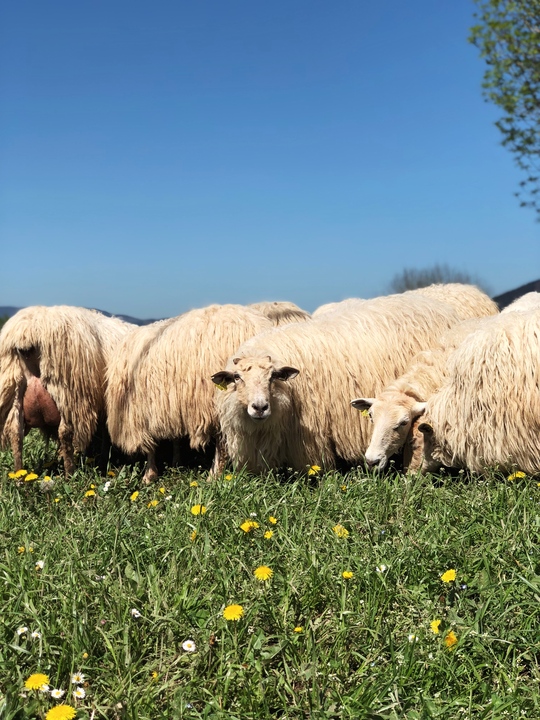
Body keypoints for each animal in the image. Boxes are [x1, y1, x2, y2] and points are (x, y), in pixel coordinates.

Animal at [0, 306, 134, 475]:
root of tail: (27, 334)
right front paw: (104, 461)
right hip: (70, 393)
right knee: (65, 432)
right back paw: (70, 473)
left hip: (12, 387)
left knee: (15, 431)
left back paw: (19, 475)